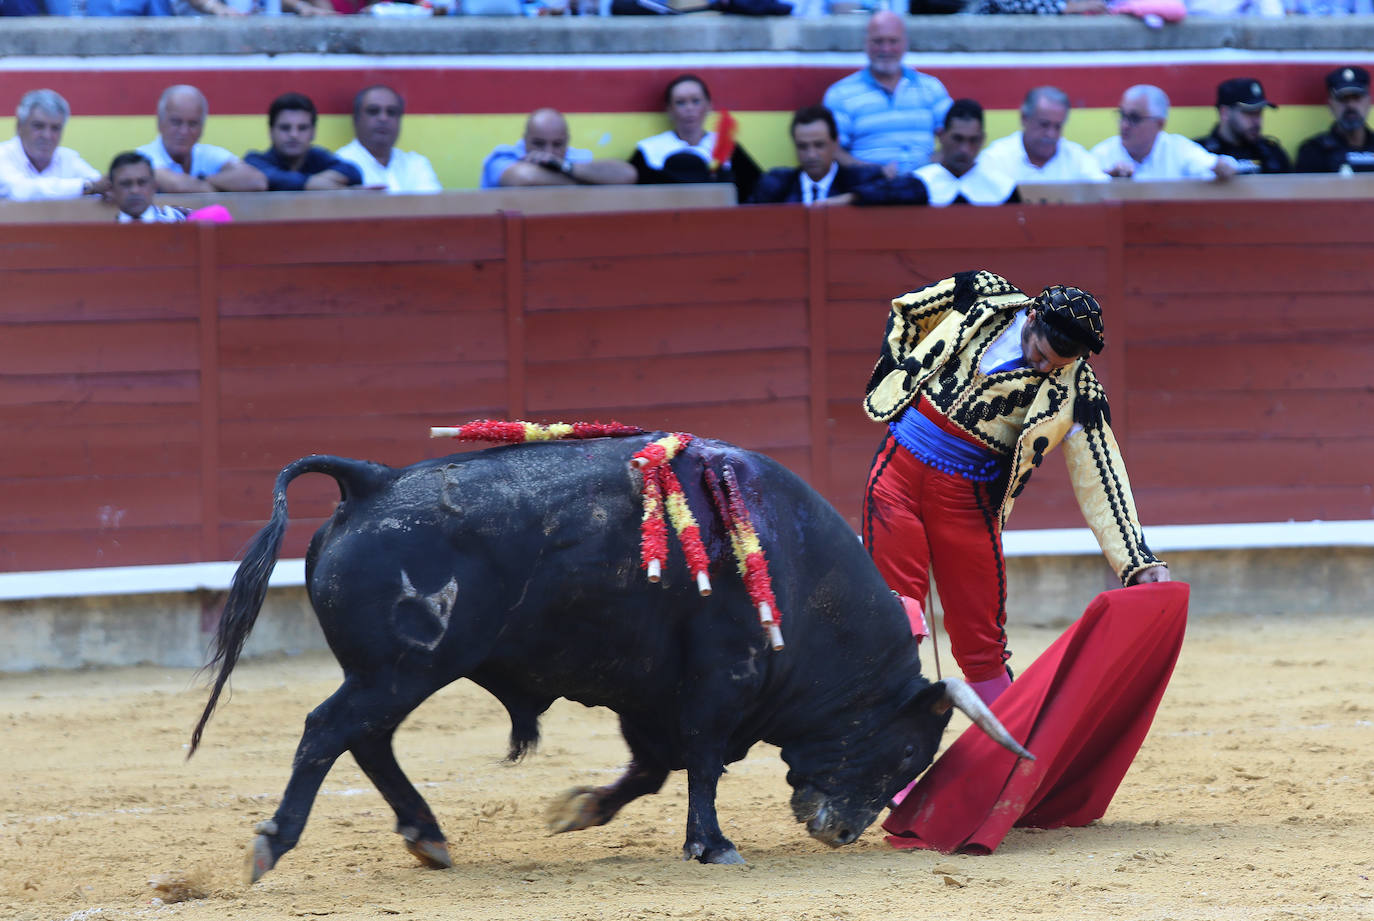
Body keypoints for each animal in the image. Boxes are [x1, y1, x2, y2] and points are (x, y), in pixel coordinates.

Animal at [193, 437, 1033, 885]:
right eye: (907, 753)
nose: (844, 831)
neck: (796, 571)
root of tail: (371, 481)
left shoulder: (650, 692)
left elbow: (654, 767)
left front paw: (580, 808)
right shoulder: (719, 679)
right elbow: (701, 761)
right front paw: (712, 844)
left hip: (394, 675)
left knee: (364, 739)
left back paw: (427, 835)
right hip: (398, 670)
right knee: (326, 730)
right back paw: (274, 842)